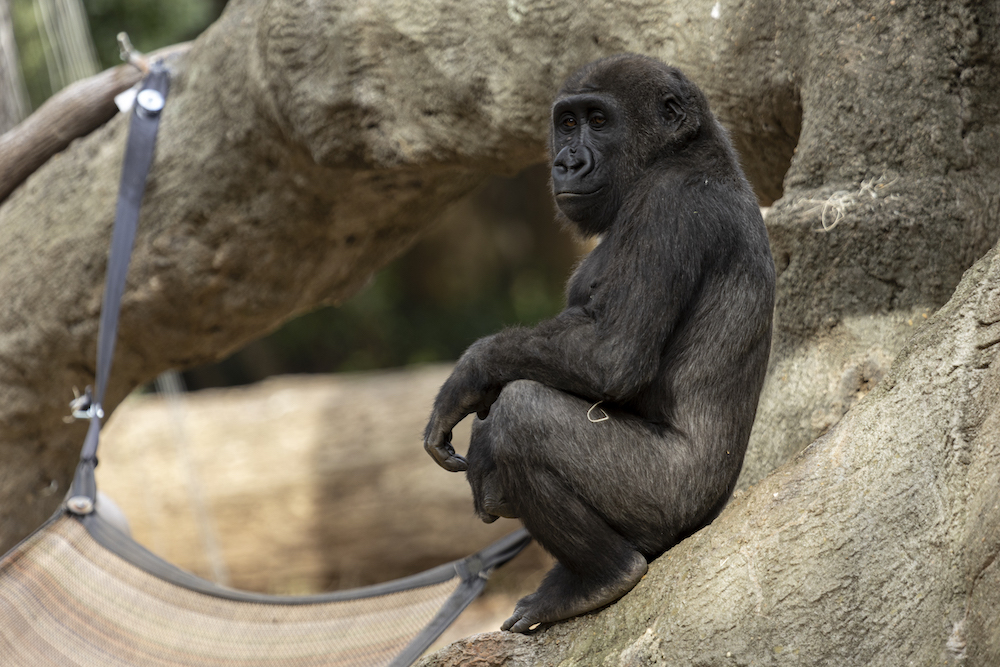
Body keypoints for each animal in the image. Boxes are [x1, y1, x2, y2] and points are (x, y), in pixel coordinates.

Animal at [424, 54, 775, 633]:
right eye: (567, 123)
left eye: (599, 121)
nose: (567, 162)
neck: (685, 153)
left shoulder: (668, 208)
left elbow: (611, 356)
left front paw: (468, 379)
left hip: (668, 506)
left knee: (525, 414)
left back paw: (604, 575)